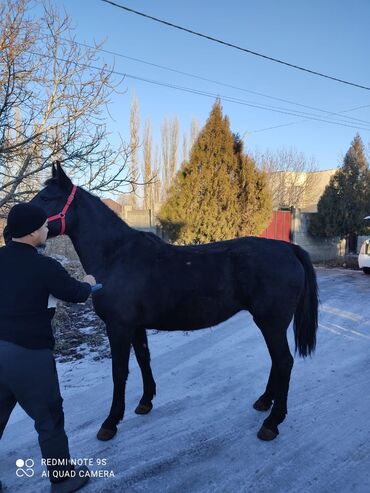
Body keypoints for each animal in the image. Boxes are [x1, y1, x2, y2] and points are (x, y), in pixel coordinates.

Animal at [30, 162, 318, 442]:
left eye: (46, 198)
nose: (19, 227)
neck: (116, 256)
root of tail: (287, 249)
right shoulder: (136, 326)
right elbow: (143, 359)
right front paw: (145, 402)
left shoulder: (118, 326)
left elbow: (119, 372)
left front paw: (110, 423)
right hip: (271, 324)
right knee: (277, 362)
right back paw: (264, 402)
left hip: (271, 323)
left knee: (284, 362)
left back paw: (272, 423)